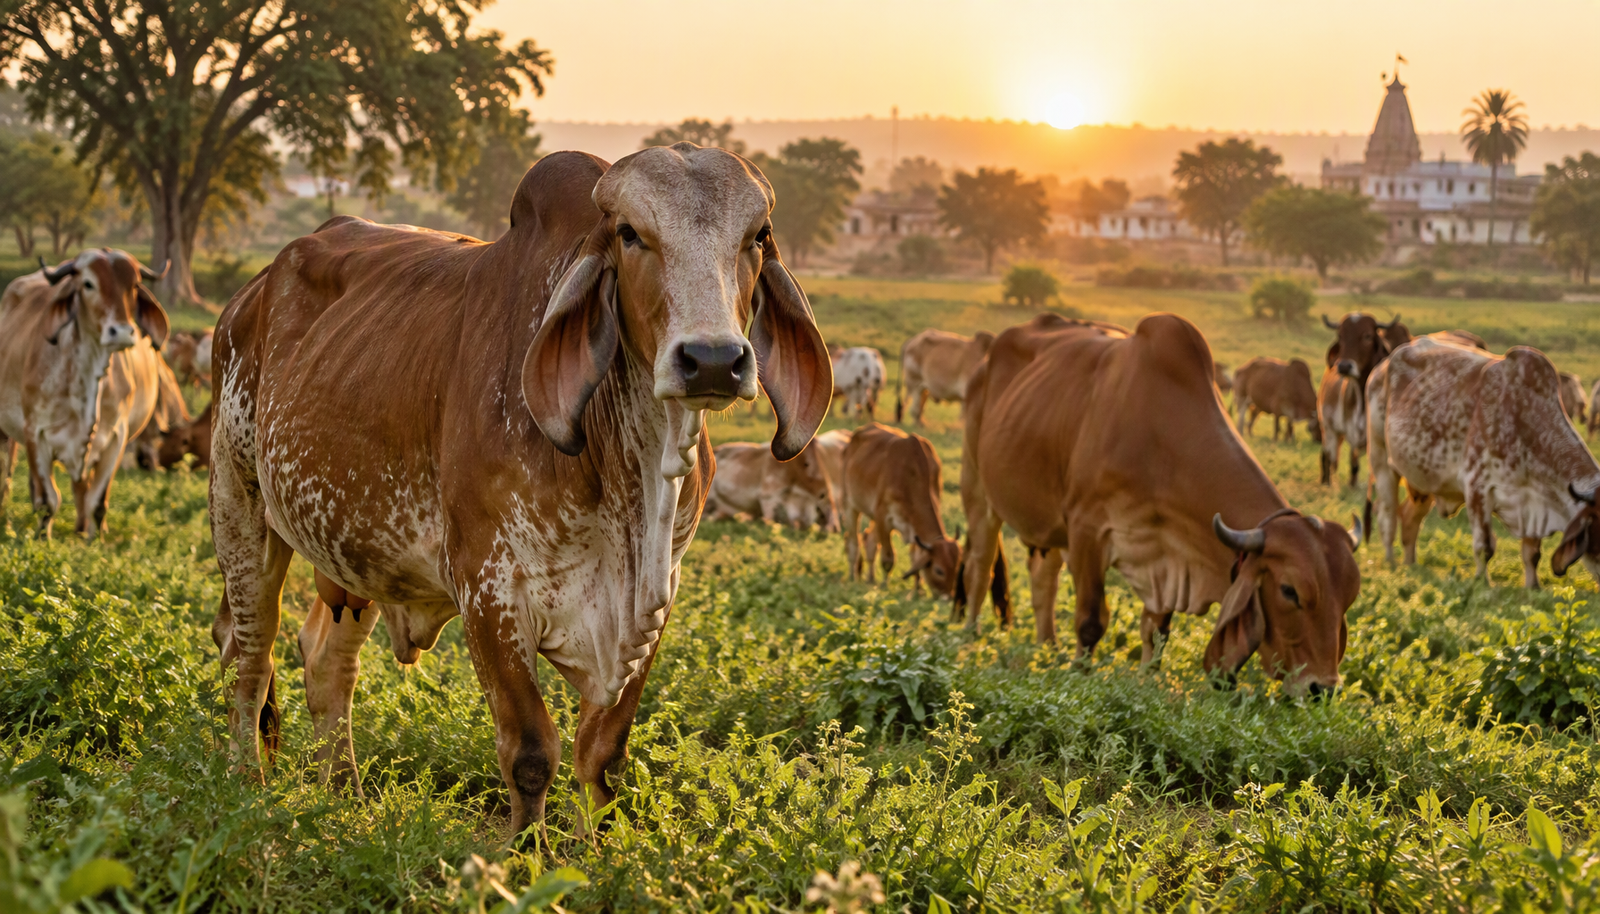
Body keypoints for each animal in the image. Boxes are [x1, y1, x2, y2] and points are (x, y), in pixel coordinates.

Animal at [0, 251, 171, 538]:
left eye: (134, 286)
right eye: (88, 284)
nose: (121, 332)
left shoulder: (116, 437)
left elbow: (97, 501)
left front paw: (95, 539)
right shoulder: (35, 431)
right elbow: (48, 499)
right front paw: (42, 538)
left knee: (82, 487)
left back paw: (81, 528)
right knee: (8, 468)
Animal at [839, 422, 961, 597]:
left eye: (957, 568)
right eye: (939, 570)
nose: (947, 597)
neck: (913, 474)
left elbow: (915, 557)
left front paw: (918, 589)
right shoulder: (883, 517)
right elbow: (888, 558)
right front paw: (884, 585)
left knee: (869, 541)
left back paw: (870, 578)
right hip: (849, 504)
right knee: (853, 541)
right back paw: (852, 576)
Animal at [958, 313, 1361, 696]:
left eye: (1349, 597)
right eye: (1289, 591)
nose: (1322, 688)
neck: (1159, 440)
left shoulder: (1167, 555)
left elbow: (1157, 632)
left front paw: (1147, 682)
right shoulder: (1087, 530)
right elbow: (1090, 622)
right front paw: (1080, 676)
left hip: (1049, 523)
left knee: (1043, 576)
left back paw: (1048, 646)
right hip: (977, 489)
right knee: (980, 566)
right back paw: (970, 635)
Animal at [1368, 336, 1600, 588]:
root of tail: (1382, 365)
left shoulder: (1533, 501)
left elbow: (1532, 553)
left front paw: (1533, 586)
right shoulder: (1477, 487)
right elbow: (1484, 547)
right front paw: (1482, 581)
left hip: (1424, 478)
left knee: (1410, 518)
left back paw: (1411, 564)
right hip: (1381, 460)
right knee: (1388, 516)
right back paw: (1391, 562)